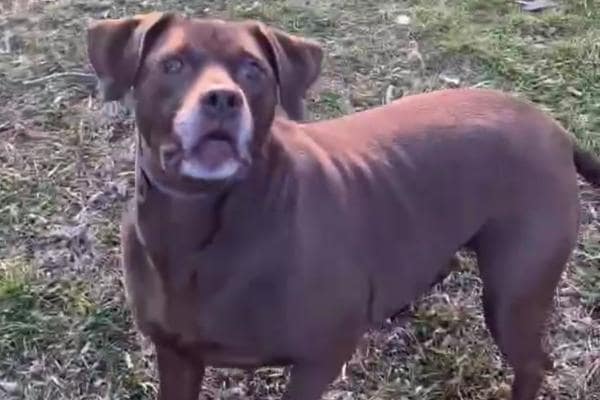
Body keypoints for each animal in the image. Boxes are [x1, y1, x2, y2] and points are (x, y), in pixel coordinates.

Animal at [87, 12, 600, 400]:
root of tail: (555, 129)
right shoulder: (176, 356)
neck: (199, 224)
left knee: (533, 362)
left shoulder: (321, 357)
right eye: (172, 65)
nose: (222, 99)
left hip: (514, 295)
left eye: (253, 70)